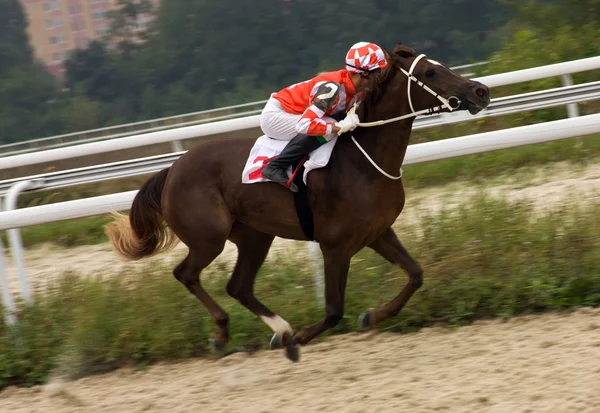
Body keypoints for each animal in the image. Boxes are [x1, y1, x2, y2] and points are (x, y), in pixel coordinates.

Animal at [106, 42, 492, 360]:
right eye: (430, 73)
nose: (481, 90)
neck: (363, 160)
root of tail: (172, 169)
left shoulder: (378, 233)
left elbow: (415, 274)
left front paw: (371, 316)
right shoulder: (335, 246)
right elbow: (334, 310)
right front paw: (305, 337)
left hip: (255, 236)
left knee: (238, 286)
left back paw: (282, 331)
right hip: (208, 238)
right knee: (186, 274)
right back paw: (224, 333)